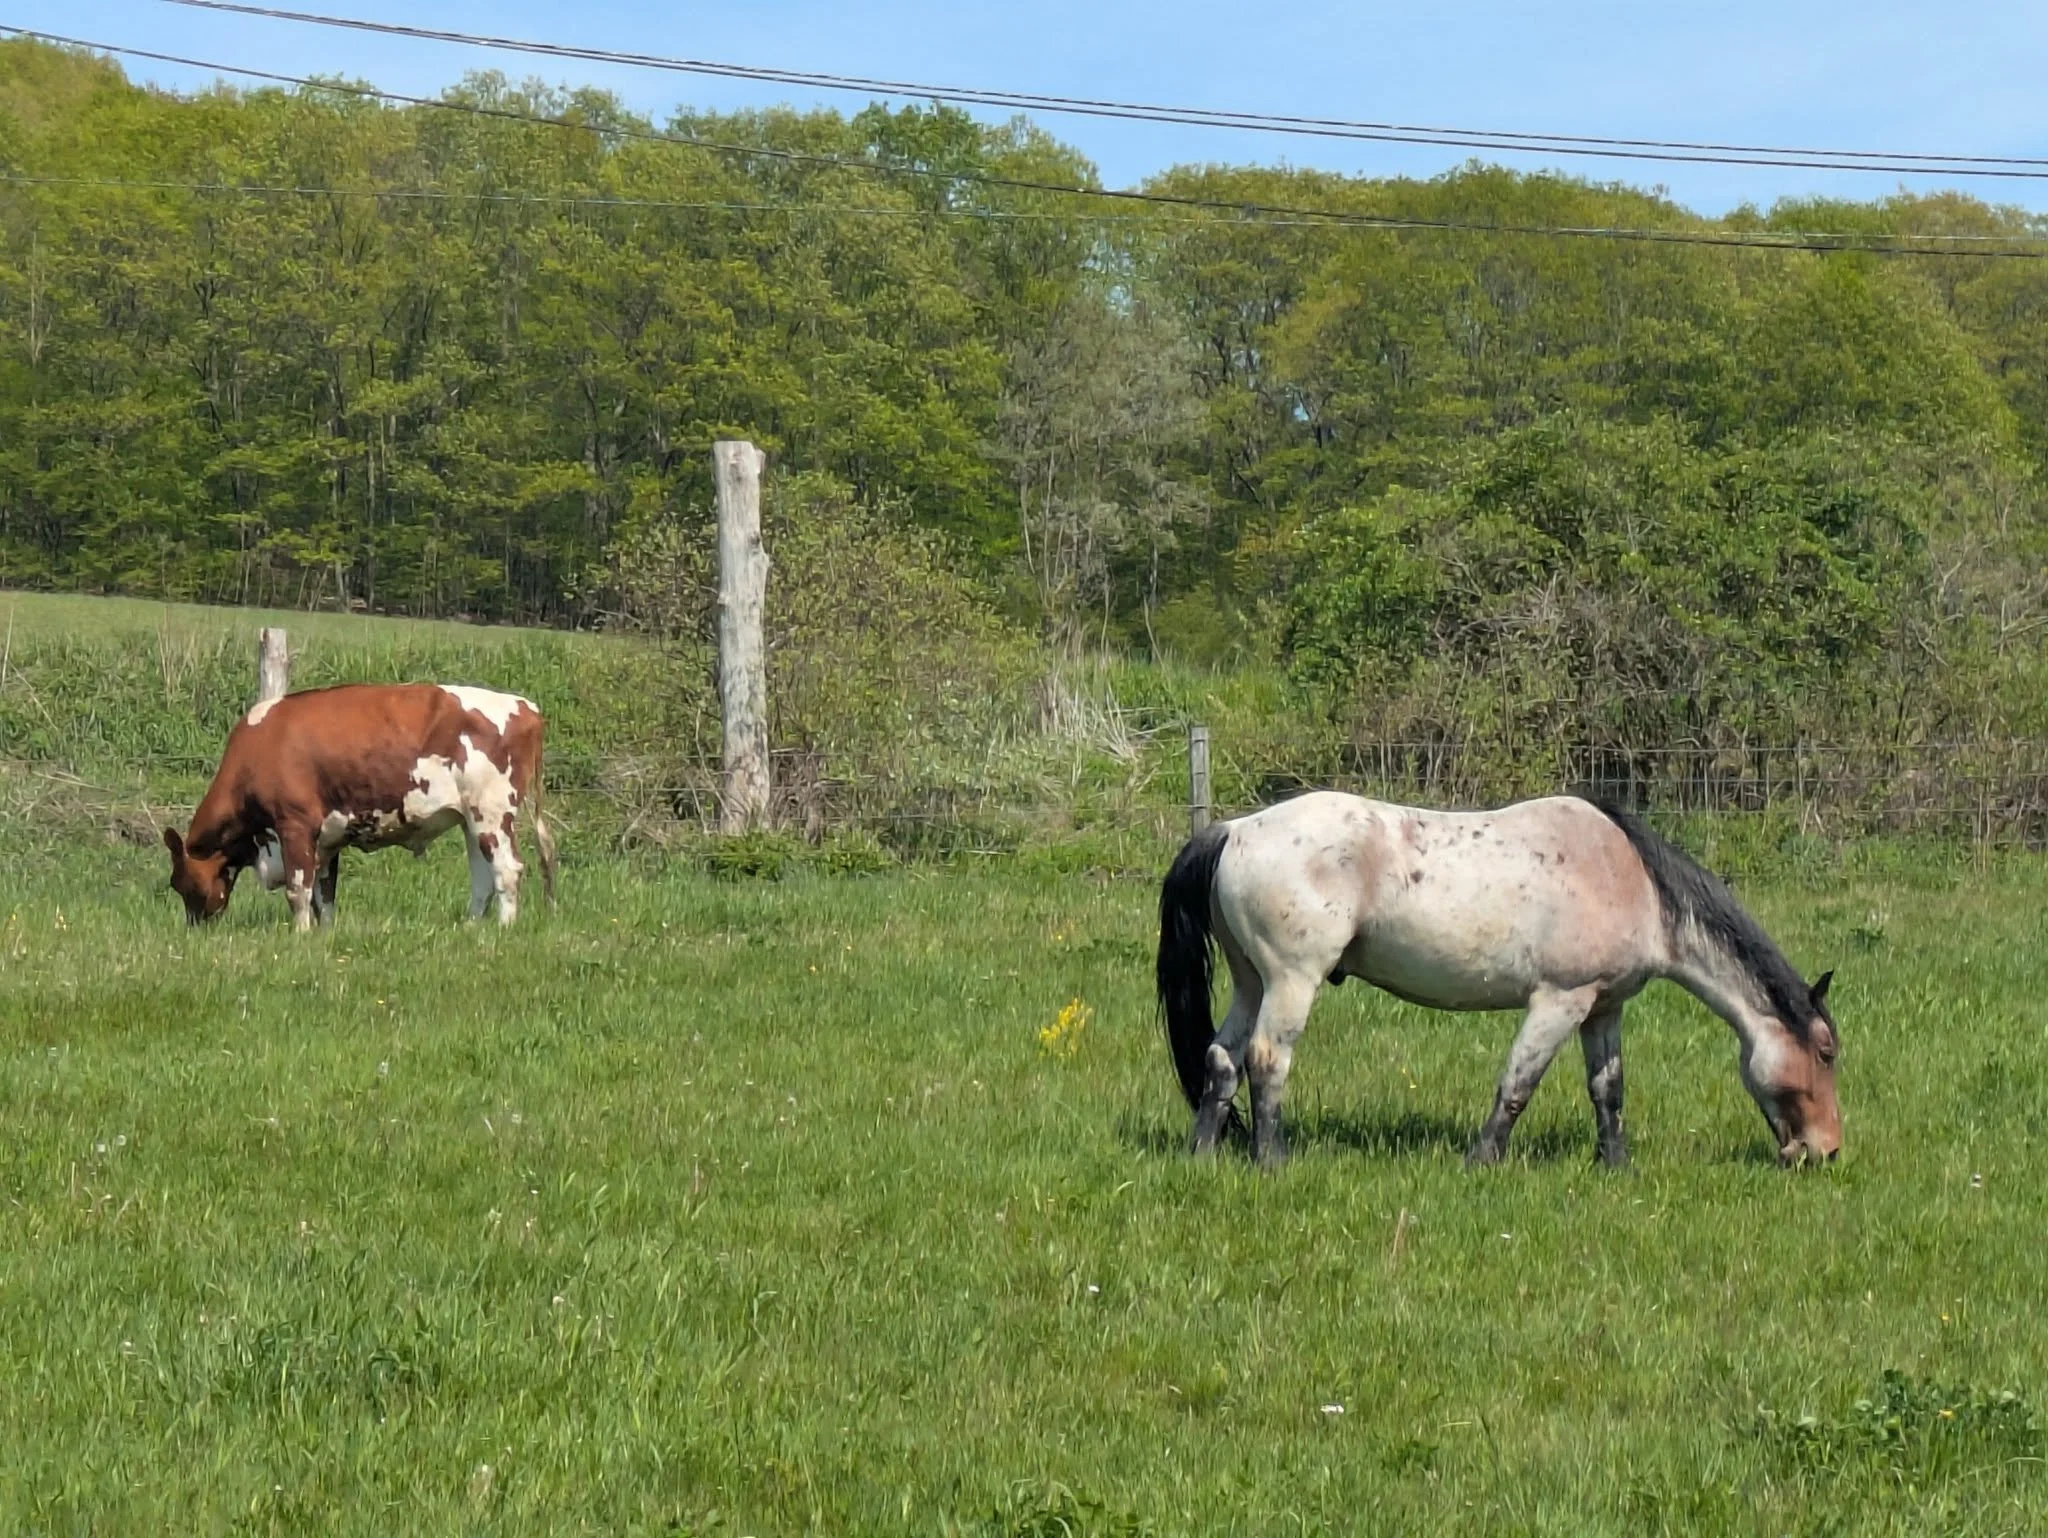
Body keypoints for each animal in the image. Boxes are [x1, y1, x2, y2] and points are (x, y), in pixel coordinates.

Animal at [163, 683, 558, 930]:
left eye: (179, 883)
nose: (194, 927)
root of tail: (527, 707)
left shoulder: (294, 825)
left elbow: (298, 890)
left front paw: (299, 936)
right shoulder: (326, 839)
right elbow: (324, 894)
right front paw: (323, 935)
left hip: (491, 813)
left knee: (506, 870)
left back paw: (504, 928)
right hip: (470, 819)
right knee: (482, 877)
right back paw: (471, 927)